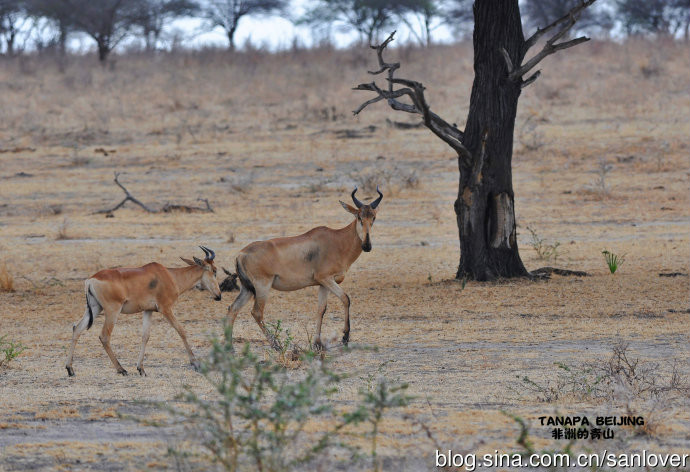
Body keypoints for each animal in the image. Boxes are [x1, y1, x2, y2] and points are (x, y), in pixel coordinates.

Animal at [65, 247, 220, 376]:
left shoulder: (148, 310)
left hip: (95, 308)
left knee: (77, 328)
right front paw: (196, 363)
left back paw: (70, 369)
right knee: (104, 336)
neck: (169, 275)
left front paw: (141, 369)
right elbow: (181, 331)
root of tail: (90, 280)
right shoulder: (165, 308)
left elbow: (145, 336)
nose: (219, 296)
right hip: (112, 311)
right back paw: (121, 369)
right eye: (214, 270)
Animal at [228, 188, 382, 350]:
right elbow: (346, 298)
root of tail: (240, 254)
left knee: (233, 308)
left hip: (247, 288)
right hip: (262, 286)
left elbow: (321, 309)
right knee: (257, 312)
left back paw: (230, 347)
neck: (336, 240)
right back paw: (277, 345)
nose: (367, 245)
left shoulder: (323, 284)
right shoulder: (326, 278)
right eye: (359, 217)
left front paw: (318, 344)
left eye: (373, 217)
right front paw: (345, 337)